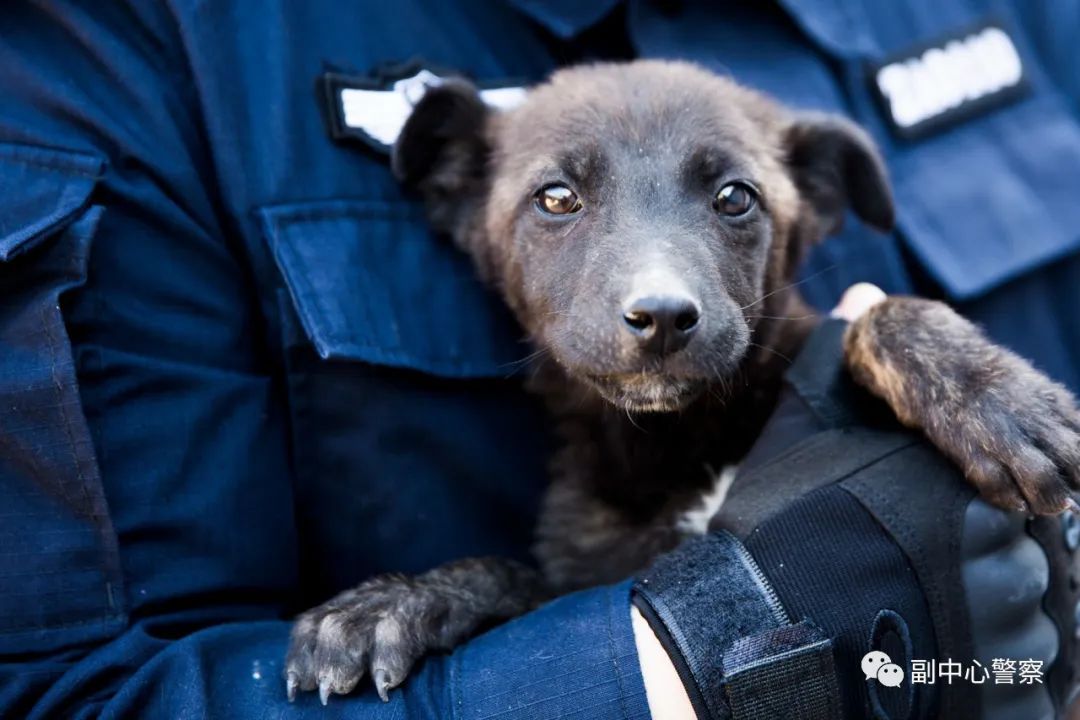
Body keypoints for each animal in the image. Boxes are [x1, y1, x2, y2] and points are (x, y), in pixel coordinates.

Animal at [285, 62, 1080, 703]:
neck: (677, 439)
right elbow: (514, 578)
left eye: (735, 197)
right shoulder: (590, 574)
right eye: (556, 198)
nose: (663, 317)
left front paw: (997, 397)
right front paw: (397, 602)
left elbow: (880, 312)